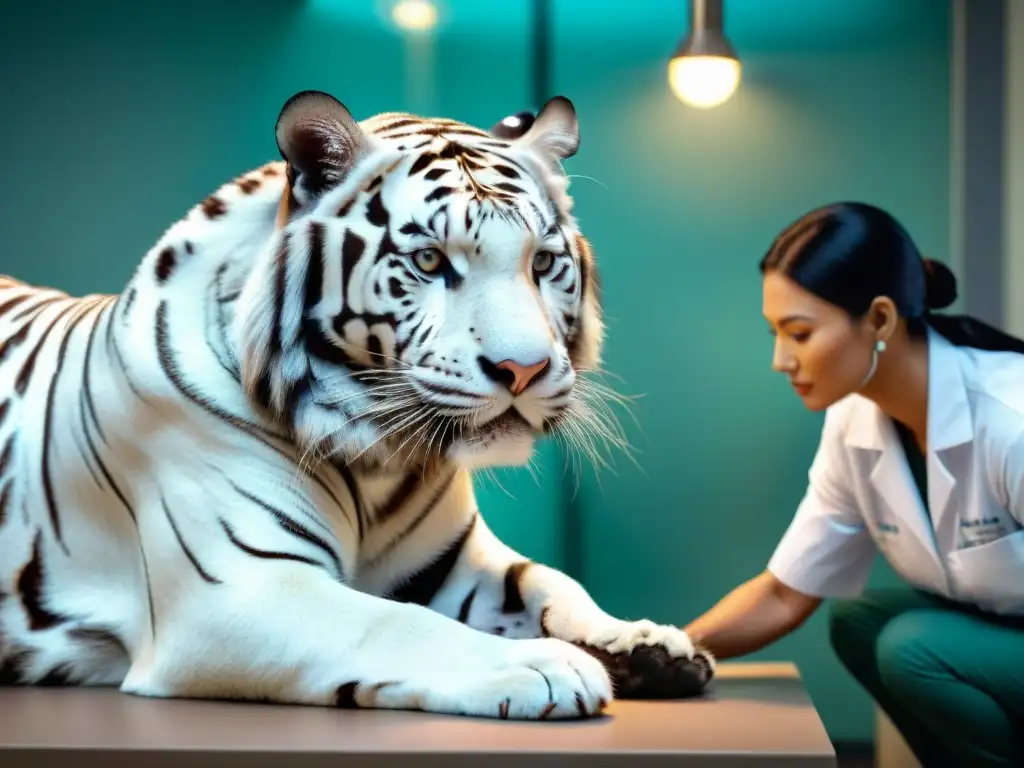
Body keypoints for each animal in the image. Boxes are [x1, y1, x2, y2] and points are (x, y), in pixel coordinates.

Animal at [0, 89, 715, 719]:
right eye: (429, 260)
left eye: (542, 263)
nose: (523, 369)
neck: (379, 460)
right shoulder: (236, 591)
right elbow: (396, 624)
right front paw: (545, 666)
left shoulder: (455, 562)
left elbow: (548, 579)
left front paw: (647, 643)